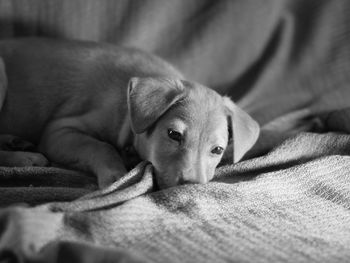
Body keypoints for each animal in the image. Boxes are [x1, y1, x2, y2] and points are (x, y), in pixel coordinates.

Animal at [0, 37, 260, 190]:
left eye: (217, 150)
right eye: (174, 135)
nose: (190, 186)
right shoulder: (59, 130)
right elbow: (100, 146)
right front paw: (115, 175)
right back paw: (25, 158)